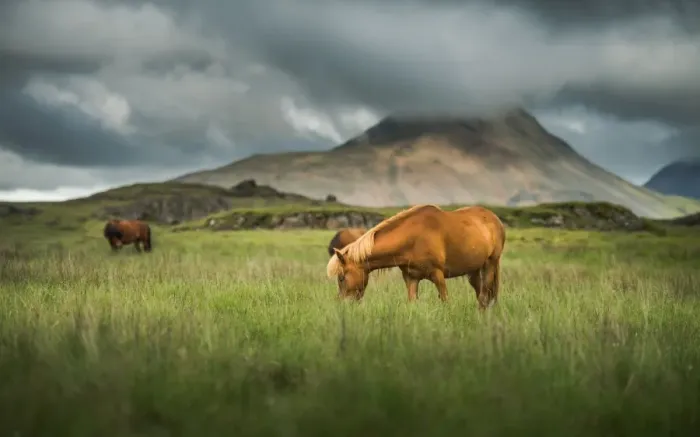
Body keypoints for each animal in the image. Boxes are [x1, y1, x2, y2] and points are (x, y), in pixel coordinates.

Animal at [326, 204, 506, 310]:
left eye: (341, 277)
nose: (342, 305)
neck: (413, 238)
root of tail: (494, 218)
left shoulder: (438, 275)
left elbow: (445, 301)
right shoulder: (411, 278)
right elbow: (412, 302)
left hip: (490, 263)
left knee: (484, 294)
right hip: (473, 270)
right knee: (480, 292)